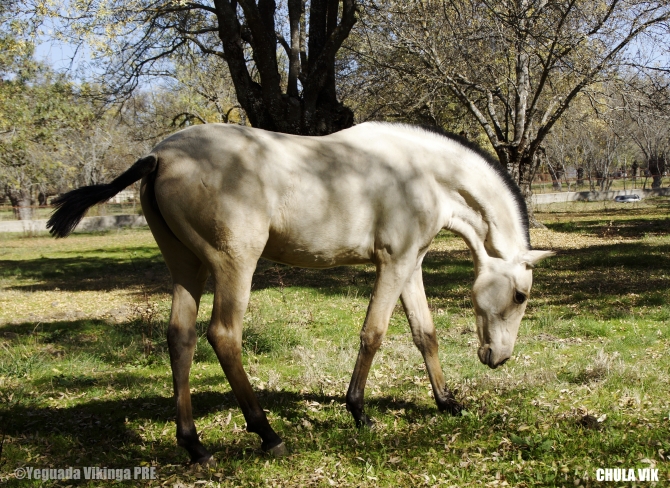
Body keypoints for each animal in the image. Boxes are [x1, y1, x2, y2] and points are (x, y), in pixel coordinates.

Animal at [46, 122, 552, 462]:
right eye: (521, 296)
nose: (498, 357)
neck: (419, 171)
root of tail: (159, 156)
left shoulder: (411, 265)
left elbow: (424, 334)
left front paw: (447, 403)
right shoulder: (393, 264)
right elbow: (374, 334)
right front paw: (359, 412)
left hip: (186, 268)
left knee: (181, 339)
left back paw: (194, 445)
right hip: (235, 266)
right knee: (223, 336)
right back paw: (267, 433)